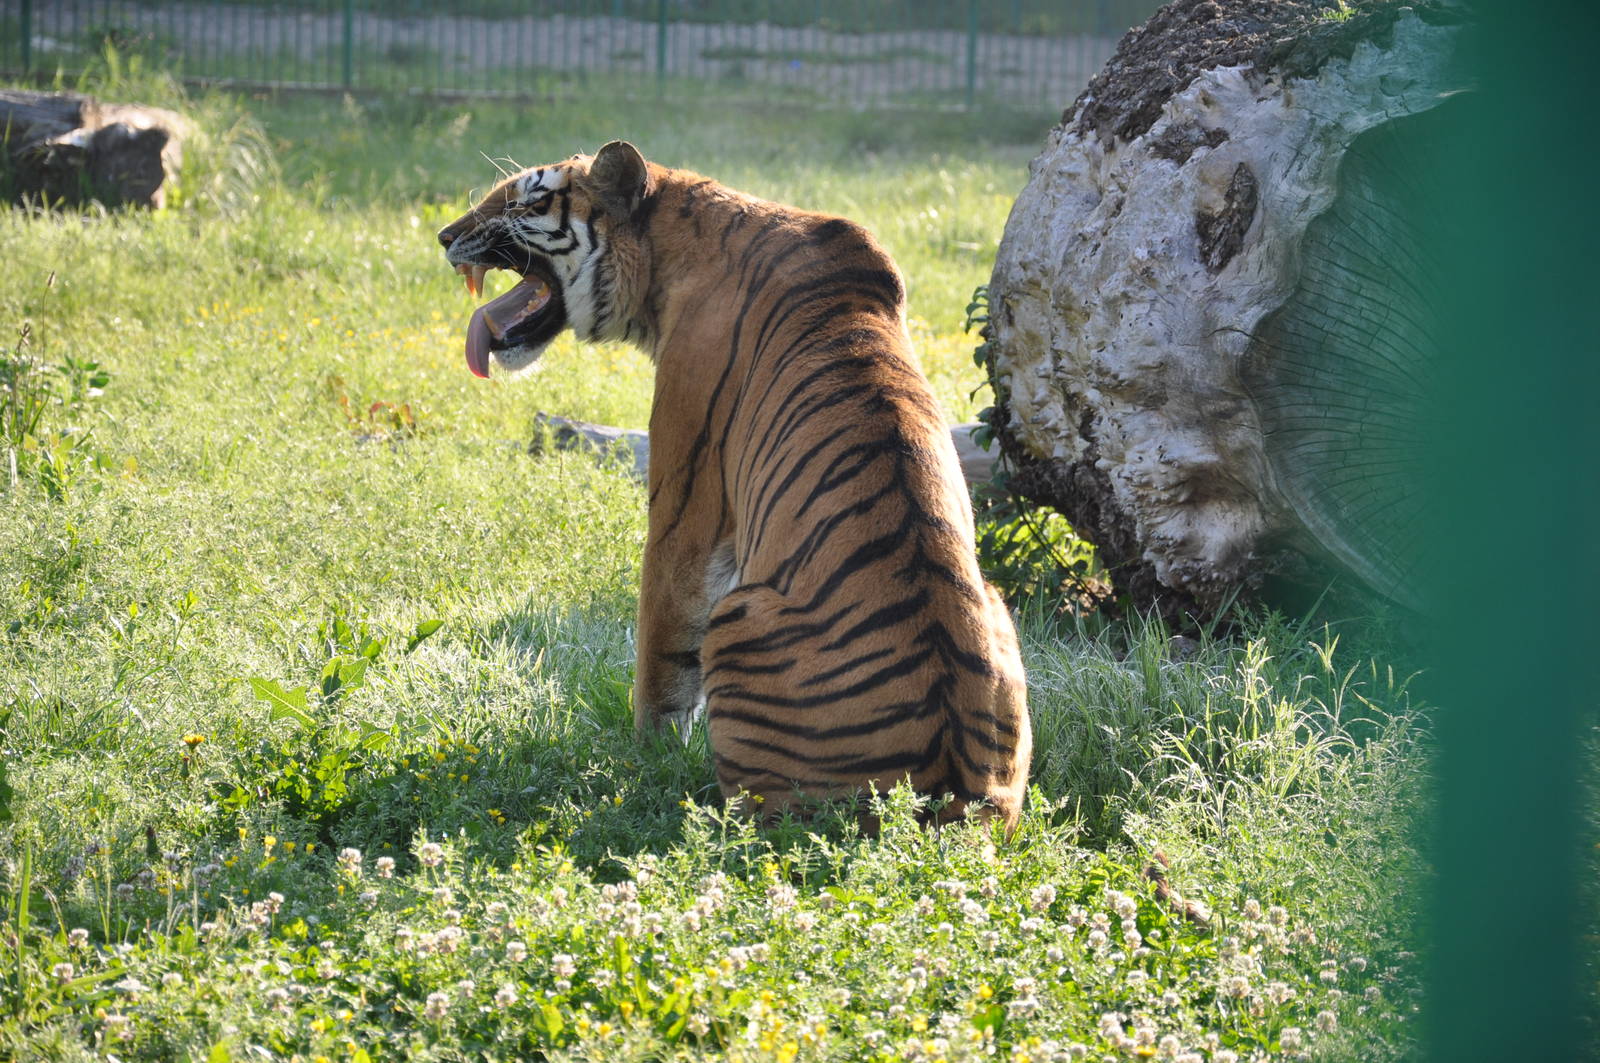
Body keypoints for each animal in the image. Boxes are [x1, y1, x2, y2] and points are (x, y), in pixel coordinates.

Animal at [437, 141, 1031, 829]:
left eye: (526, 200)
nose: (444, 236)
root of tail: (950, 799)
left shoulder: (684, 506)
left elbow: (662, 651)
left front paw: (646, 759)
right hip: (997, 613)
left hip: (739, 620)